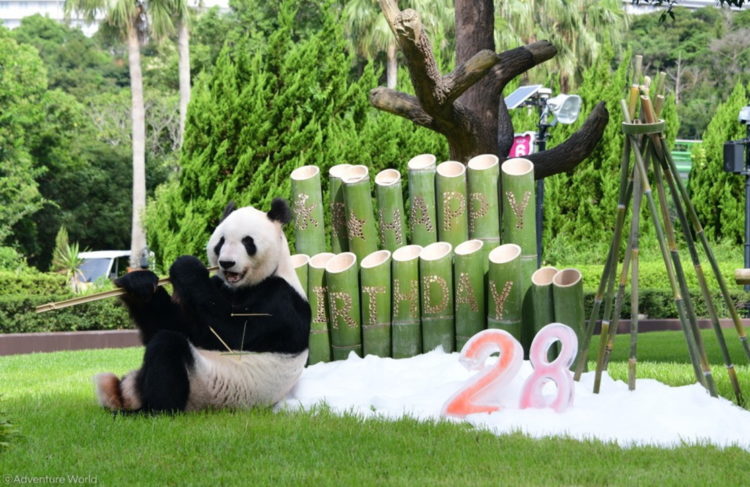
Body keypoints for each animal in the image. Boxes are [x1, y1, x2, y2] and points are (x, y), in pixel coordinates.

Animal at [94, 198, 311, 413]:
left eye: (248, 242)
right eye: (221, 242)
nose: (227, 263)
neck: (243, 287)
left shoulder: (281, 300)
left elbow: (233, 334)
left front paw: (186, 265)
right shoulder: (220, 286)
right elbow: (179, 325)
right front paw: (139, 284)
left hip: (207, 386)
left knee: (168, 347)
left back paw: (153, 410)